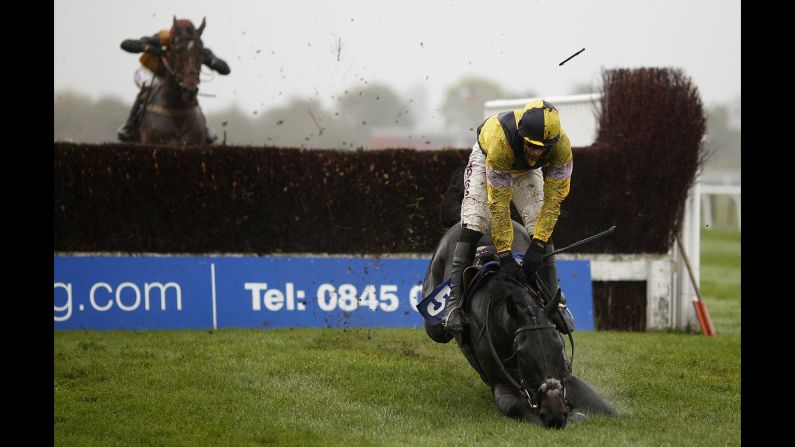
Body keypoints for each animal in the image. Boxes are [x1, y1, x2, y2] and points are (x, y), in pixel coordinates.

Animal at [422, 226, 616, 428]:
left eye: (558, 345)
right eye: (521, 352)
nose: (553, 408)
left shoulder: (567, 377)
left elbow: (609, 411)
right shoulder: (502, 386)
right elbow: (516, 408)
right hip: (434, 325)